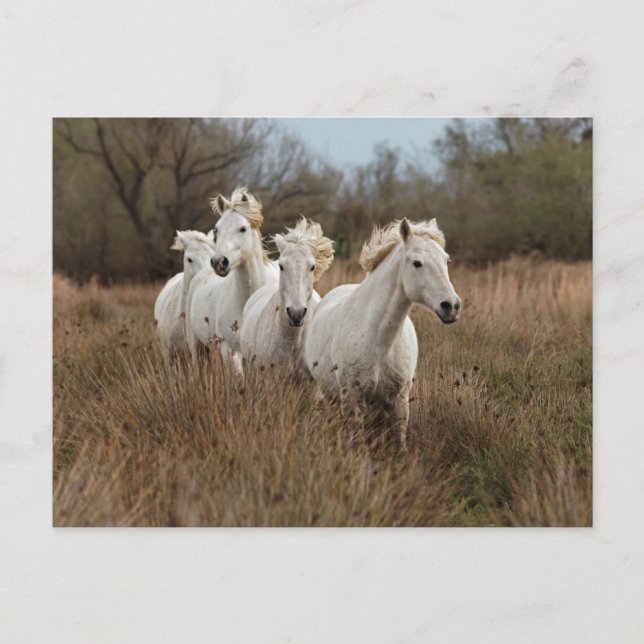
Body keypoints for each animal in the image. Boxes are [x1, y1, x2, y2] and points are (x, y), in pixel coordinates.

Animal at [304, 218, 461, 450]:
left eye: (447, 261)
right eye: (416, 263)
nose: (451, 306)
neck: (378, 341)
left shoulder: (399, 401)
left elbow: (399, 443)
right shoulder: (352, 400)